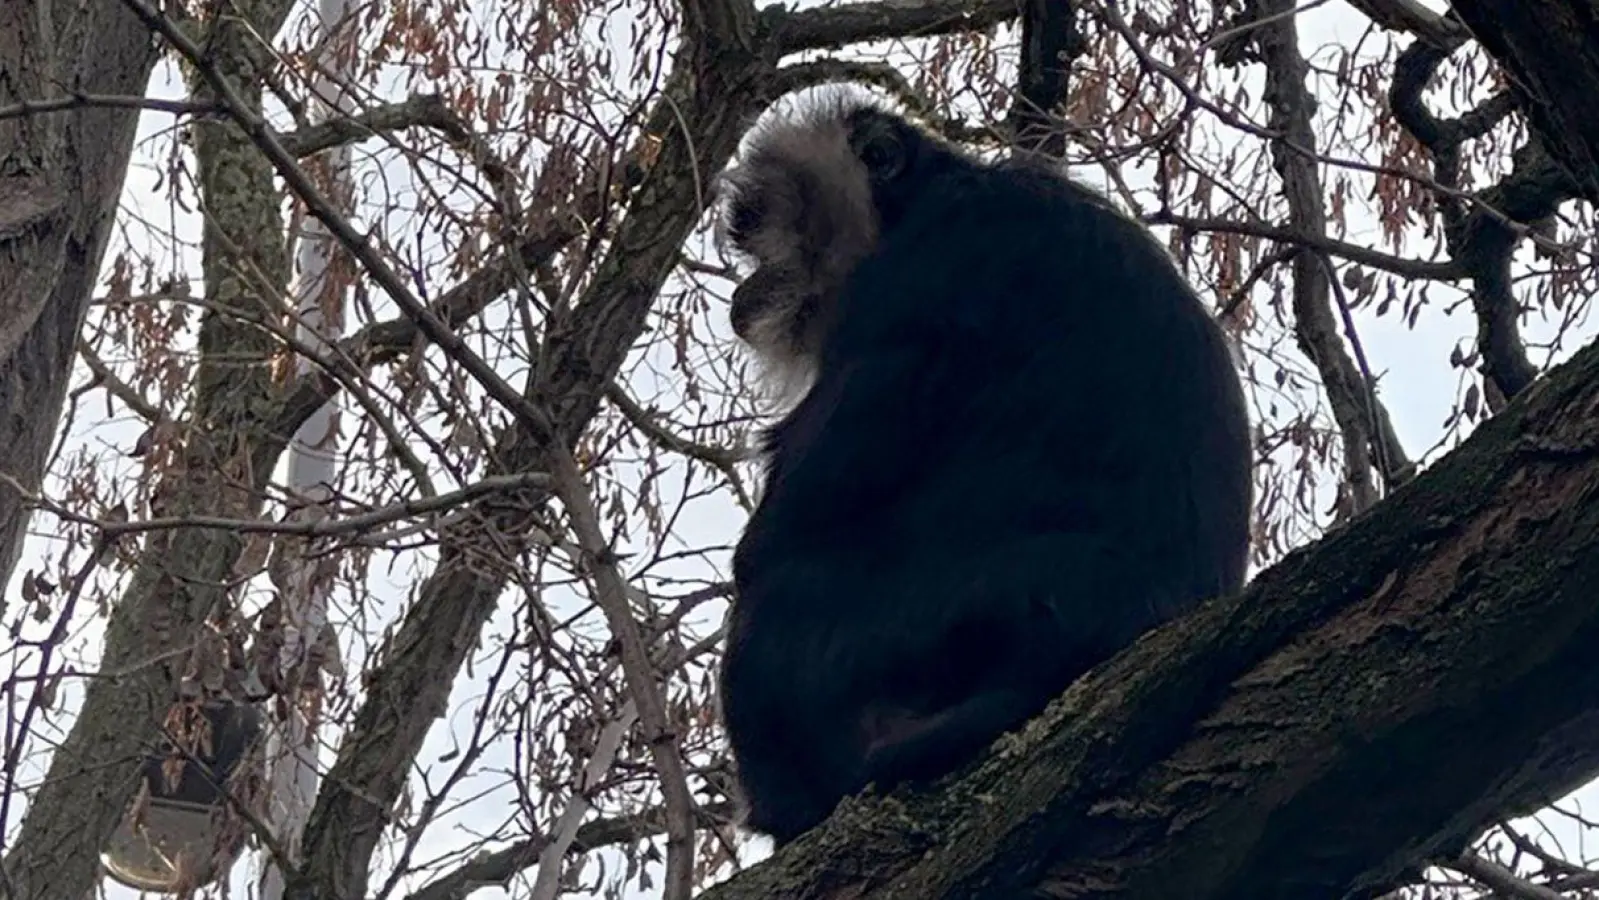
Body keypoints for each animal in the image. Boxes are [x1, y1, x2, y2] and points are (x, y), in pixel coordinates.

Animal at [719, 95, 1253, 850]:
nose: (747, 285)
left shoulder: (920, 274)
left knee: (772, 611)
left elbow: (784, 529)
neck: (923, 200)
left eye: (761, 225)